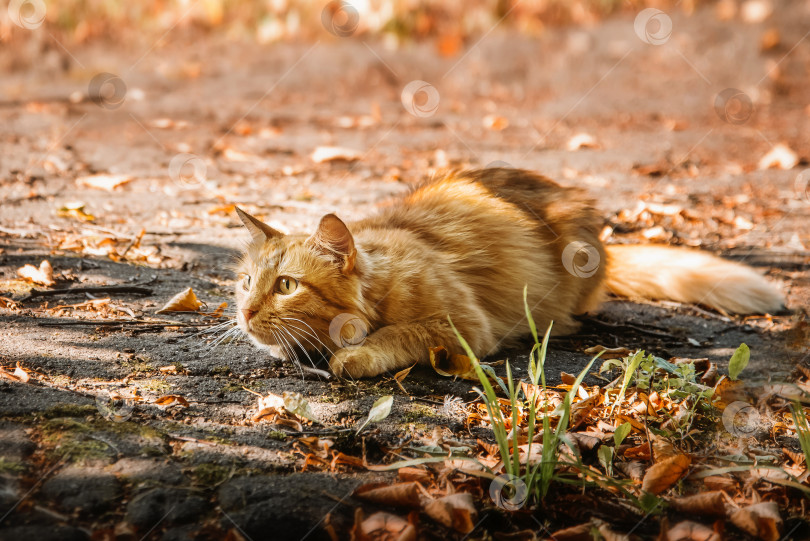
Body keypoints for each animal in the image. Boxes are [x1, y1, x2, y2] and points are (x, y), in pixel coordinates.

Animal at [234, 168, 784, 376]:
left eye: (287, 286)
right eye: (246, 283)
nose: (244, 313)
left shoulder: (463, 327)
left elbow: (397, 333)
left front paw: (356, 353)